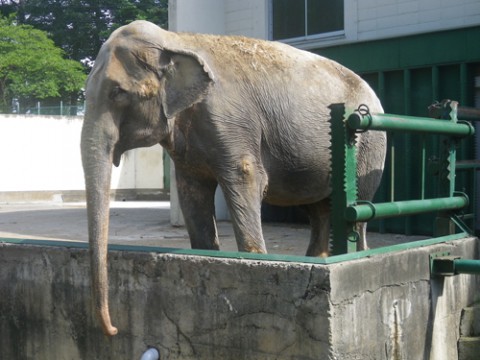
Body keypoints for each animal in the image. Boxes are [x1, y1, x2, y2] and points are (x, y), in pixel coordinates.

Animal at [81, 19, 386, 334]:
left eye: (118, 93)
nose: (113, 329)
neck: (175, 40)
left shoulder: (231, 121)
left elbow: (247, 178)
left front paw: (257, 261)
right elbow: (192, 191)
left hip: (369, 145)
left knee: (355, 210)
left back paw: (355, 256)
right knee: (319, 209)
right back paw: (318, 259)